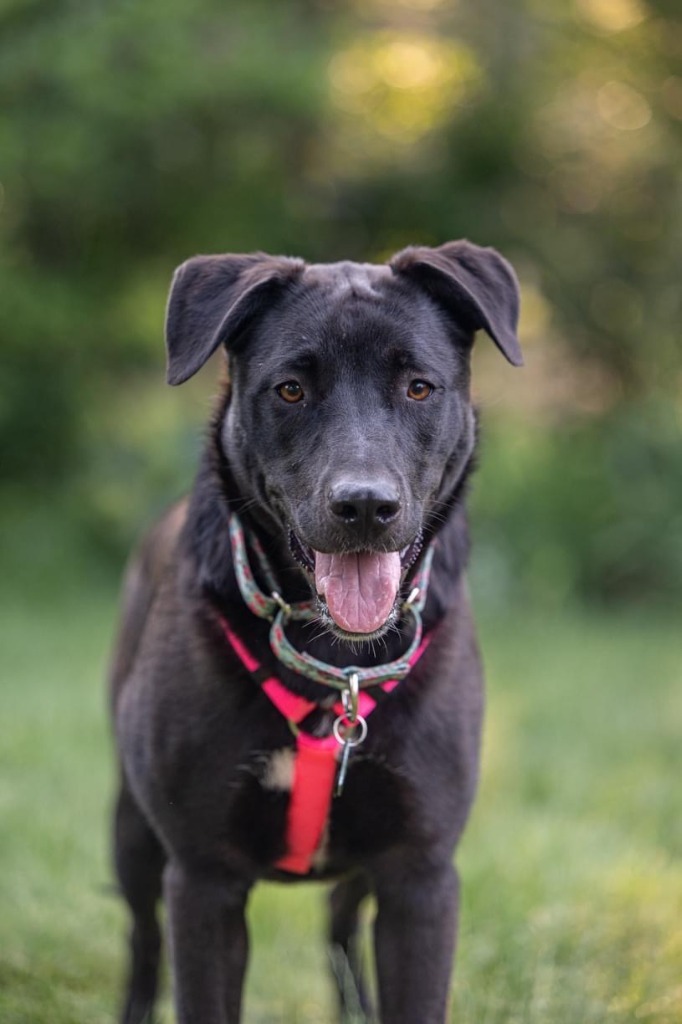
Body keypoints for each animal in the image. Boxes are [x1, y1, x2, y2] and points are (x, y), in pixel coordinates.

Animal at [109, 241, 518, 1024]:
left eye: (419, 388)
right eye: (291, 390)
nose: (364, 506)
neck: (338, 663)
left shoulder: (420, 877)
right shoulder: (202, 880)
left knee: (339, 927)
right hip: (133, 833)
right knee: (143, 936)